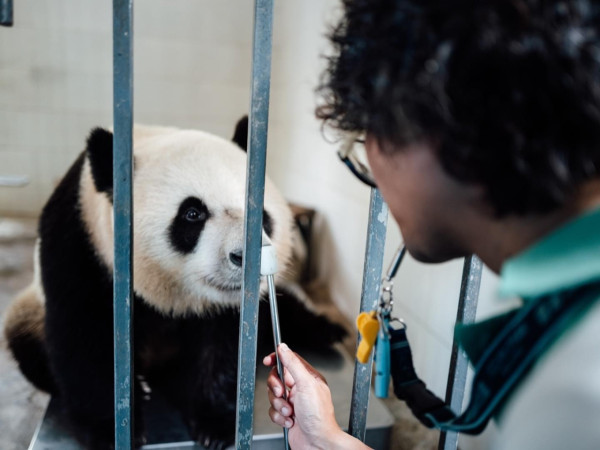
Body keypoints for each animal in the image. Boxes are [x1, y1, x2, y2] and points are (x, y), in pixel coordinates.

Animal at [3, 119, 346, 450]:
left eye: (260, 213)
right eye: (192, 213)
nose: (244, 257)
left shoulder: (229, 305)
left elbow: (222, 344)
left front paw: (215, 424)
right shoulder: (80, 247)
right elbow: (84, 336)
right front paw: (112, 430)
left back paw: (329, 331)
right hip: (30, 311)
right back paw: (140, 384)